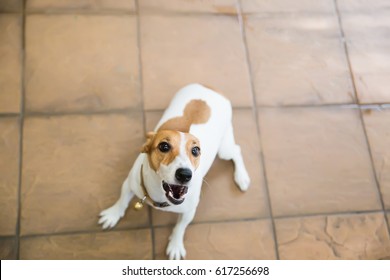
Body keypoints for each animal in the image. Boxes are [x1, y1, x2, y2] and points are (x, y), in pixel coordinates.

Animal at [97, 83, 250, 260]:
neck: (160, 197)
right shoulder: (130, 184)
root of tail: (210, 87)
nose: (185, 174)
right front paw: (113, 214)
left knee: (237, 150)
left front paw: (176, 245)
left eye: (196, 150)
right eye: (164, 146)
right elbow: (122, 201)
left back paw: (242, 177)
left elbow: (180, 228)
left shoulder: (189, 211)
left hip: (224, 150)